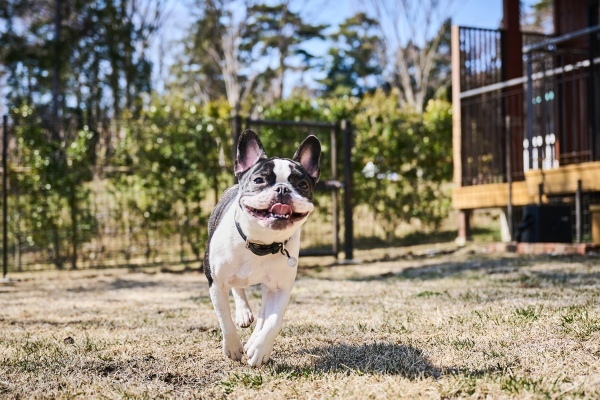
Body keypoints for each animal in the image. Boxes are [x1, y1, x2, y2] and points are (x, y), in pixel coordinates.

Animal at [204, 130, 322, 368]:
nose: (283, 189)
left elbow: (273, 321)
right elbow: (224, 317)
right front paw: (233, 347)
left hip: (269, 286)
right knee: (238, 289)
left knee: (262, 313)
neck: (261, 242)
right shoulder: (216, 283)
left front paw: (259, 349)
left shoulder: (281, 288)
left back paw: (253, 340)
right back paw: (243, 314)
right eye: (259, 180)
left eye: (302, 185)